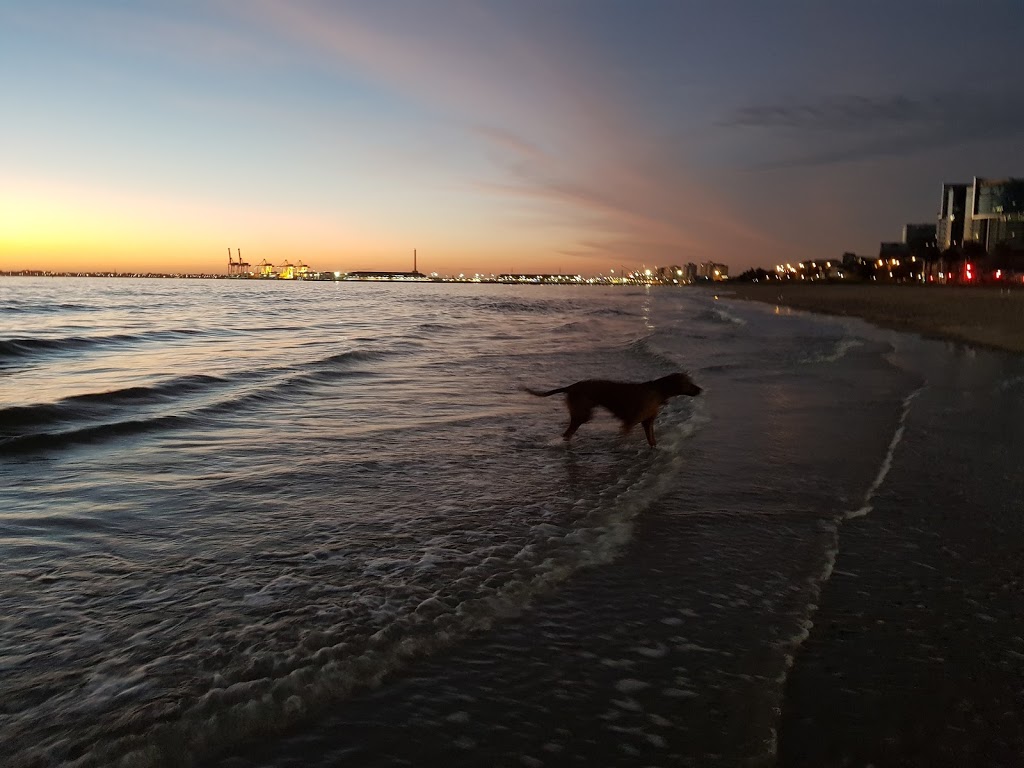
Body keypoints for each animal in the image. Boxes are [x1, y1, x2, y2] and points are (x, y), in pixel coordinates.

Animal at [524, 370, 700, 444]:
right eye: (689, 383)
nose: (701, 390)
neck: (658, 391)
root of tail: (570, 387)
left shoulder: (647, 422)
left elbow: (652, 441)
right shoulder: (630, 422)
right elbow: (624, 435)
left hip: (581, 414)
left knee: (568, 432)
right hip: (583, 414)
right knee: (569, 431)